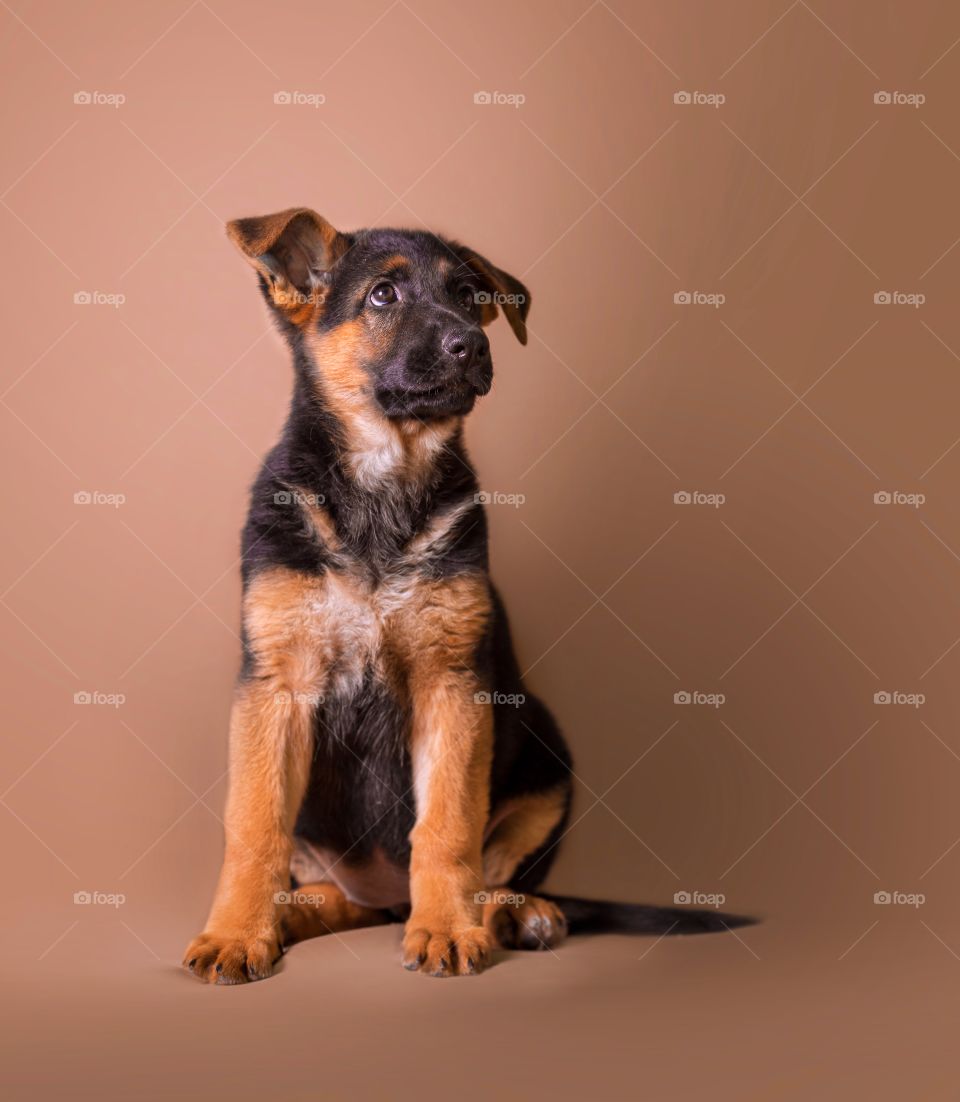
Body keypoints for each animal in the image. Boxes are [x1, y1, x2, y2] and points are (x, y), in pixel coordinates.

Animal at [184, 210, 753, 987]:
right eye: (384, 294)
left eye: (467, 294)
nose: (473, 344)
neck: (383, 480)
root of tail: (386, 897)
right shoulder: (274, 688)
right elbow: (253, 825)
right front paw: (238, 933)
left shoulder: (452, 683)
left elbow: (448, 827)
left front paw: (449, 929)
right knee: (337, 895)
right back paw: (296, 911)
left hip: (547, 752)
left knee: (496, 870)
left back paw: (514, 915)